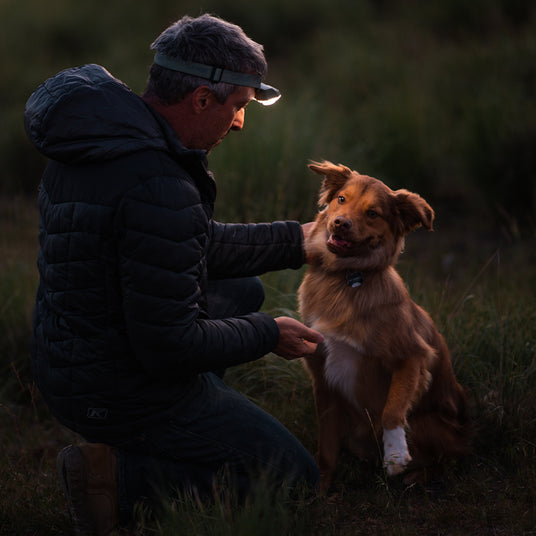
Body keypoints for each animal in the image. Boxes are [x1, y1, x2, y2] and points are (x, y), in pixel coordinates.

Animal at [300, 160, 472, 490]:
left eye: (372, 213)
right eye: (341, 199)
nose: (340, 223)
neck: (345, 278)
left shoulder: (413, 355)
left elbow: (392, 409)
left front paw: (394, 453)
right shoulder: (322, 379)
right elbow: (326, 444)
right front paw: (320, 488)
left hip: (429, 424)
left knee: (446, 460)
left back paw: (415, 476)